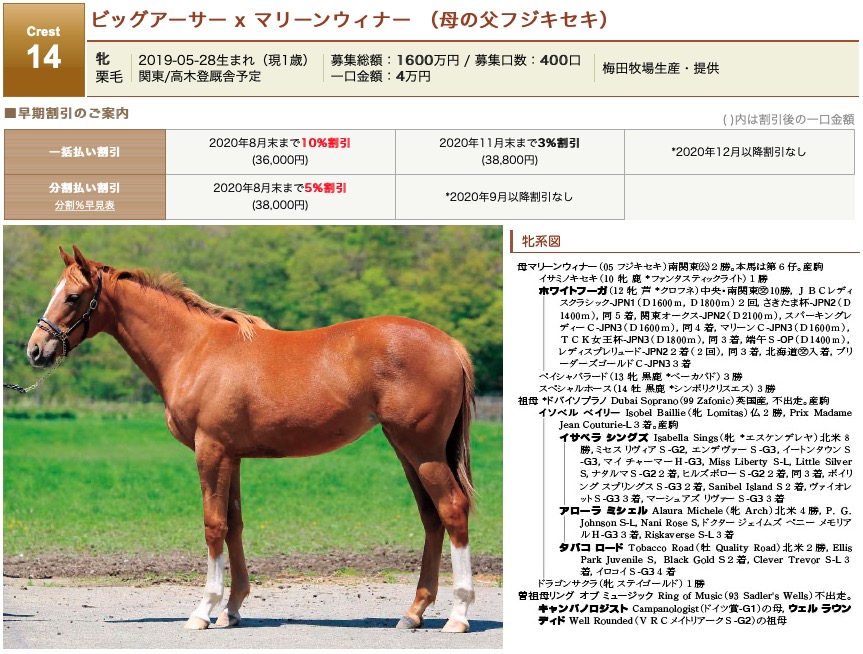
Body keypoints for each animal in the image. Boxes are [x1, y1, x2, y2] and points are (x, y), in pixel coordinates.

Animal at [25, 246, 476, 633]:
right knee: (431, 516)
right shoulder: (232, 455)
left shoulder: (210, 451)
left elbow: (213, 525)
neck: (195, 350)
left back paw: (458, 614)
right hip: (407, 450)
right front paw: (232, 609)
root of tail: (451, 345)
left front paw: (204, 610)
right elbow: (235, 525)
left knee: (452, 510)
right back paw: (414, 612)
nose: (35, 350)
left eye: (73, 297)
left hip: (422, 450)